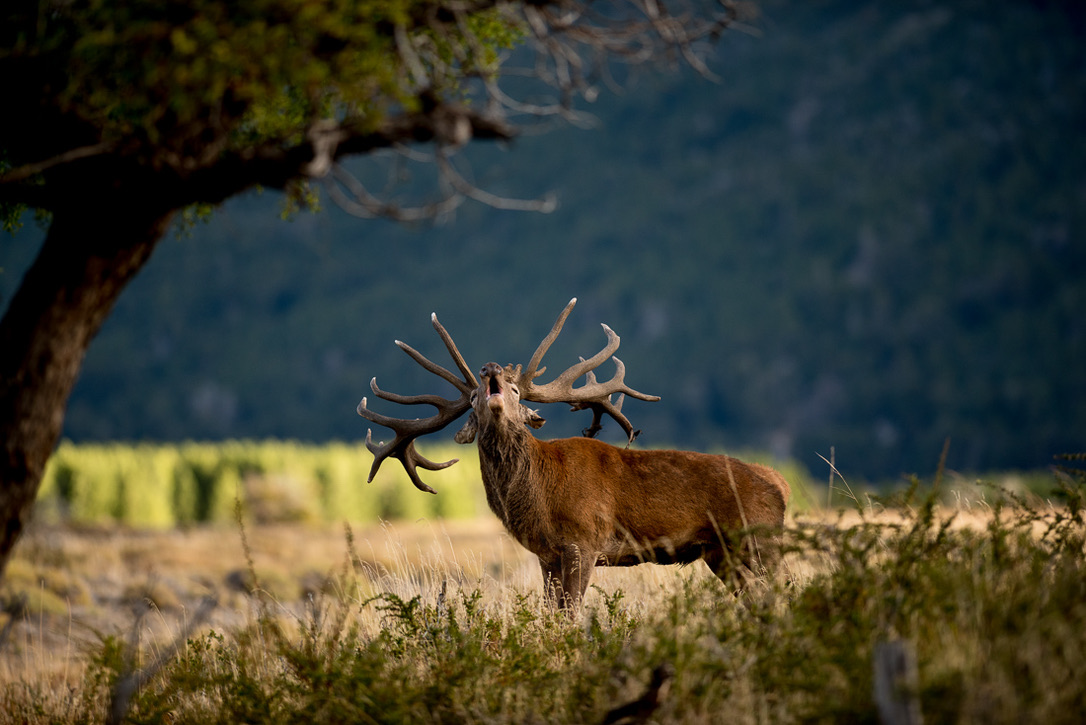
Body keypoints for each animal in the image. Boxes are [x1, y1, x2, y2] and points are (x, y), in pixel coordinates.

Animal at [356, 298, 790, 610]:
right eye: (476, 396)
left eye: (516, 390)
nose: (490, 368)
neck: (539, 498)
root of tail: (780, 484)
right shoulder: (546, 554)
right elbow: (552, 612)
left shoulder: (584, 541)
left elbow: (571, 613)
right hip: (722, 553)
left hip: (758, 539)